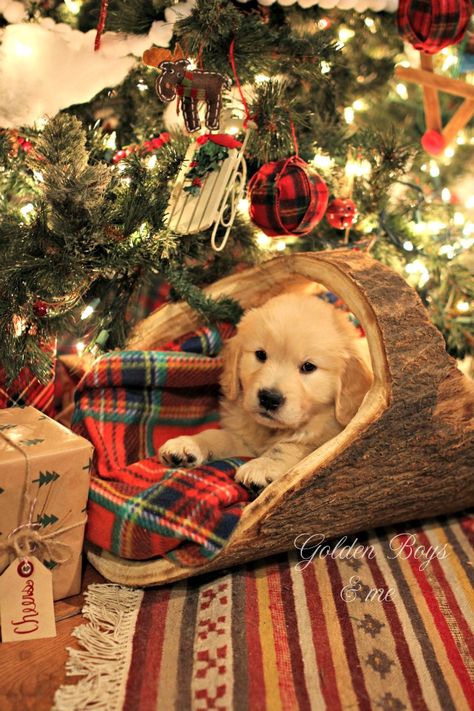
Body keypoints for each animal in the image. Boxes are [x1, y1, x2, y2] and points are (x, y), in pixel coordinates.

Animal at [159, 292, 374, 486]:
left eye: (308, 367)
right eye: (260, 355)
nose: (269, 398)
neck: (270, 431)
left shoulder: (324, 439)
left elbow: (287, 447)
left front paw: (261, 466)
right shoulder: (244, 441)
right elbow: (220, 435)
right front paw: (188, 443)